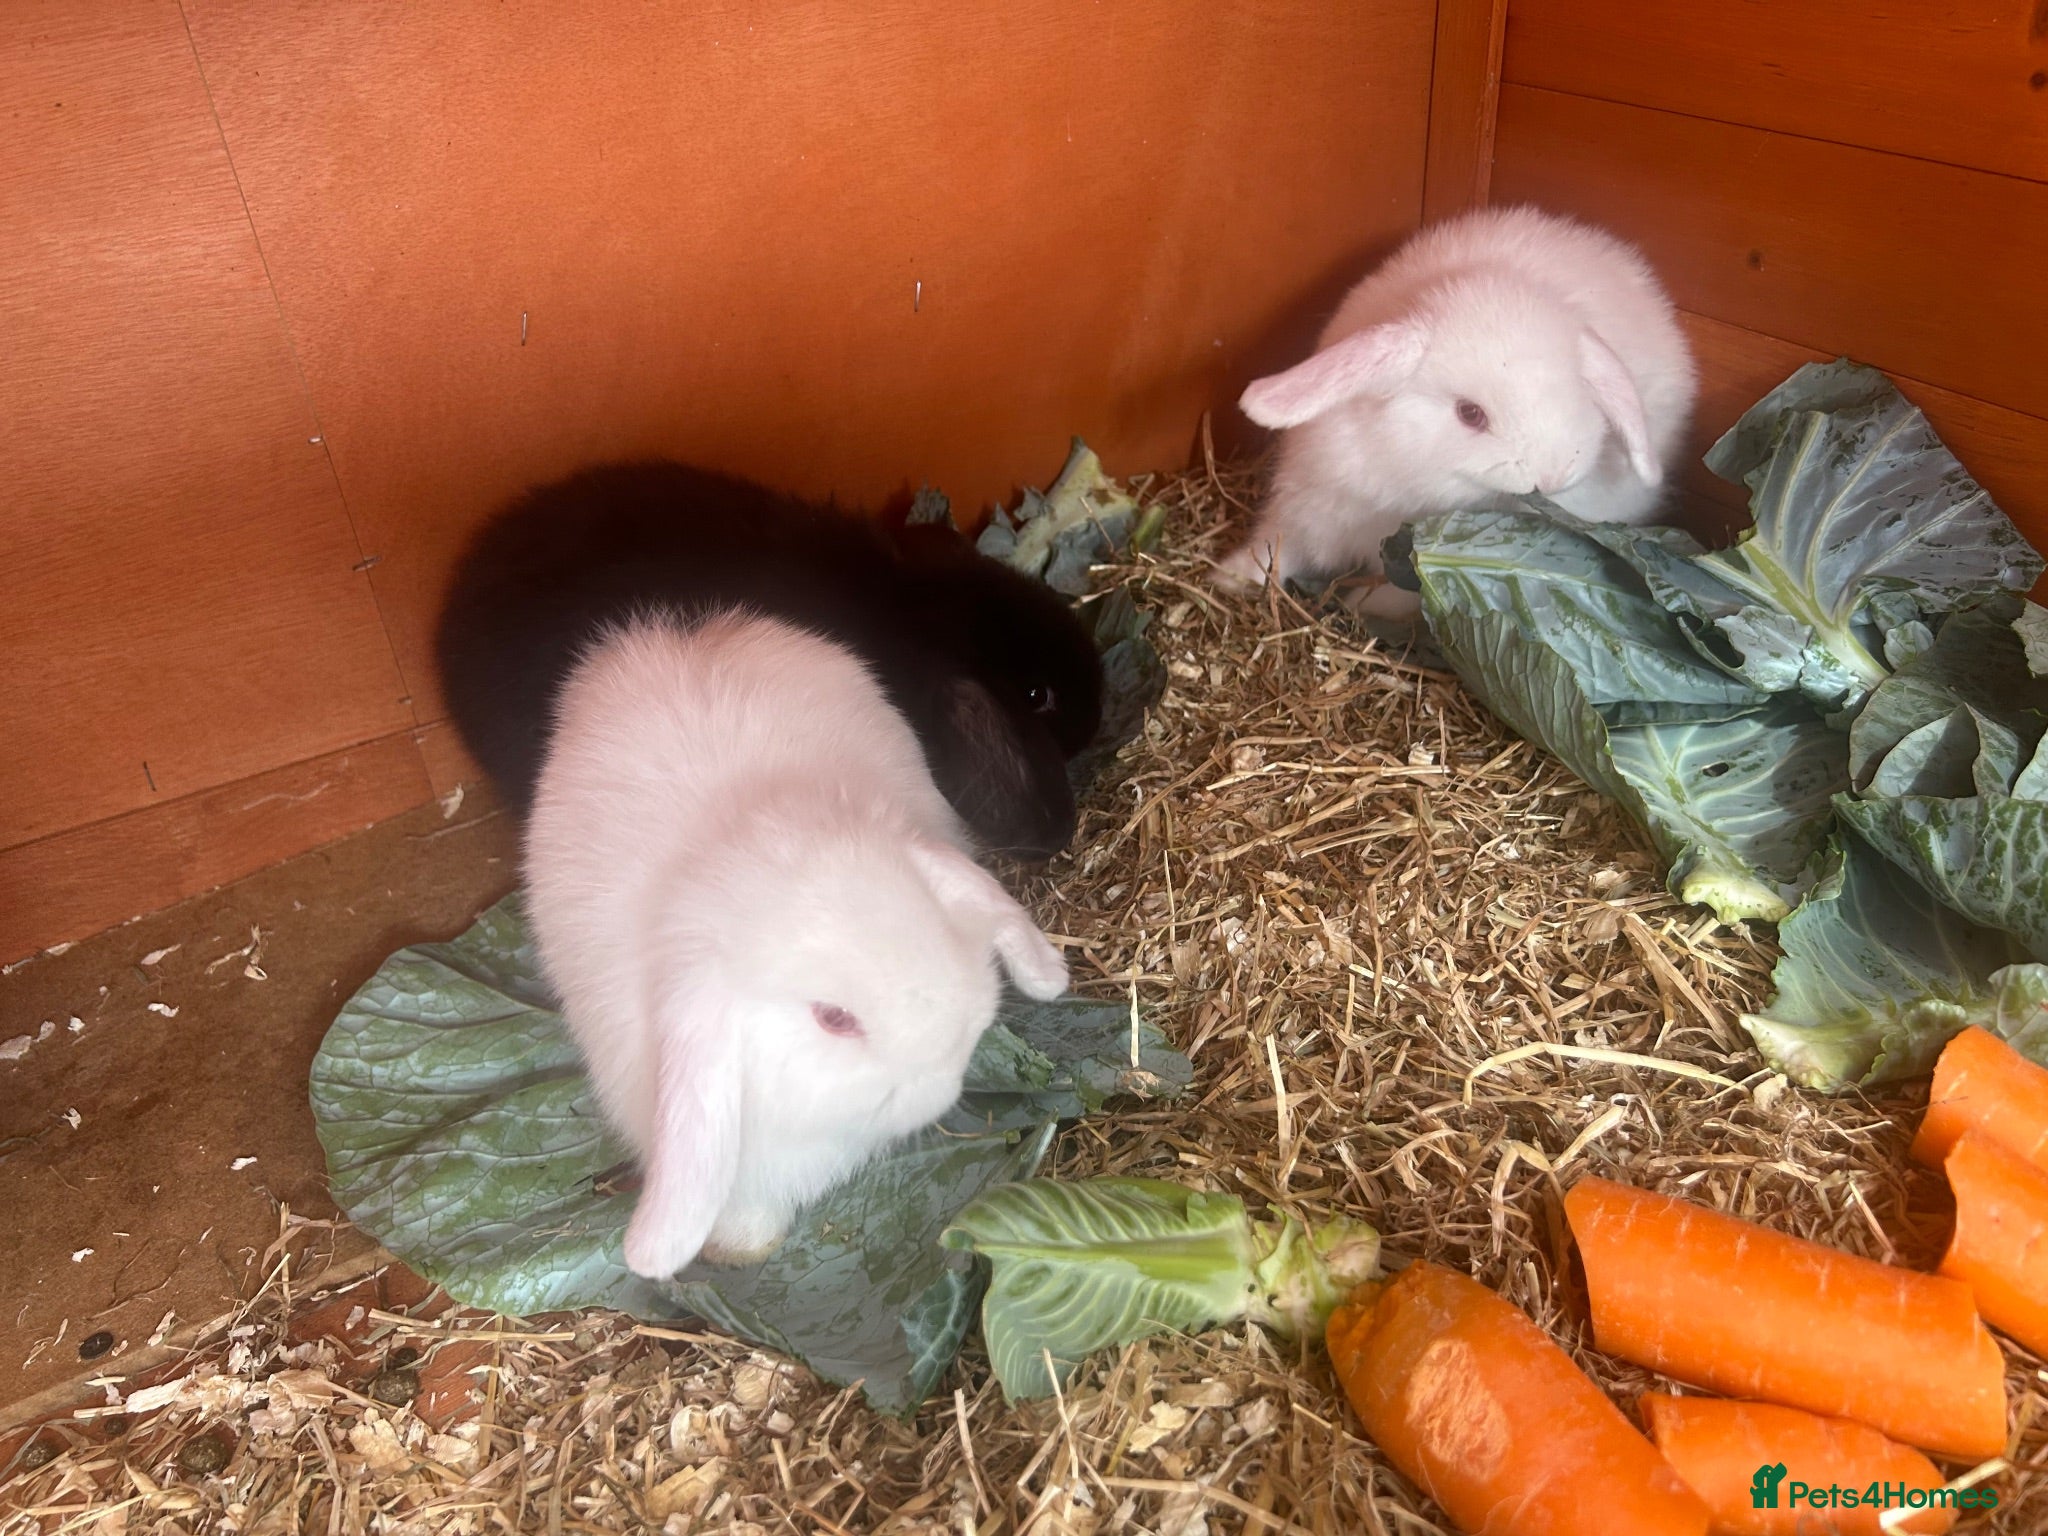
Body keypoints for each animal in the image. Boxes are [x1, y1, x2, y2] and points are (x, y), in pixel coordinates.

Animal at [1214, 205, 1698, 616]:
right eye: (1470, 413)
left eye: (1578, 391)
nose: (1555, 474)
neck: (1406, 482)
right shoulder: (1311, 506)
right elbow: (1275, 547)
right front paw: (1229, 577)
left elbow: (1399, 594)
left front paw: (1357, 606)